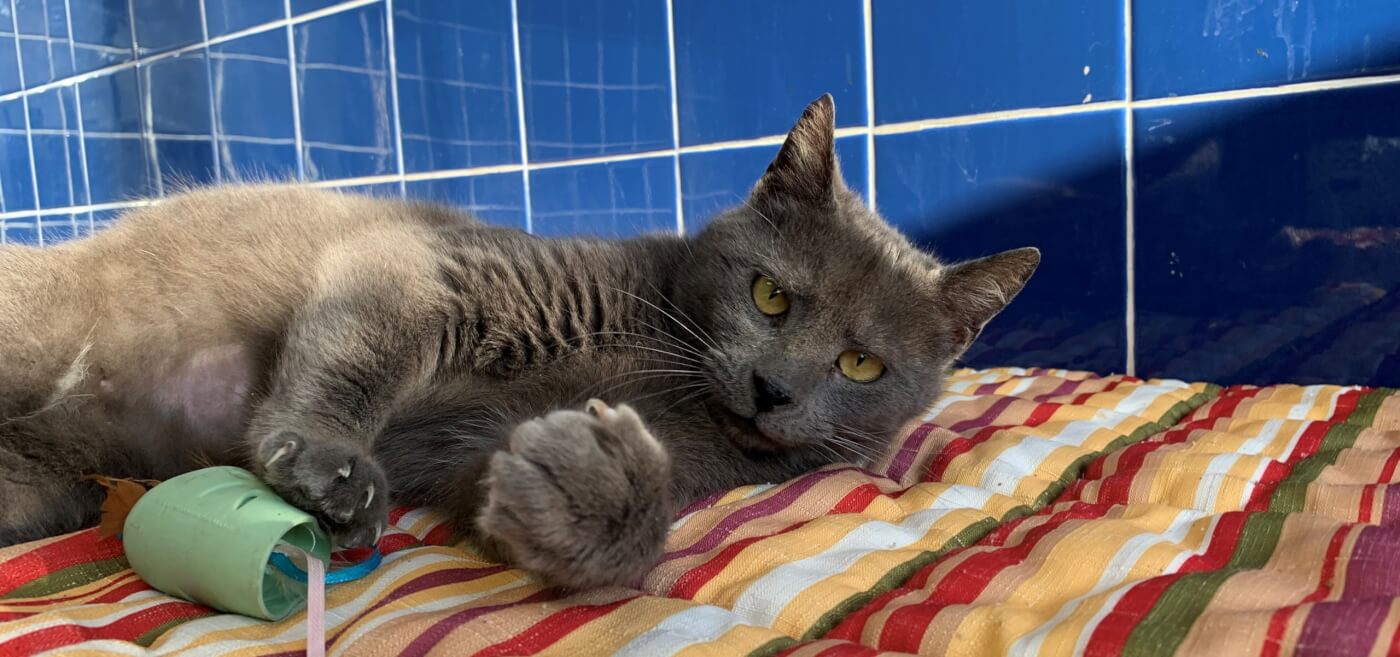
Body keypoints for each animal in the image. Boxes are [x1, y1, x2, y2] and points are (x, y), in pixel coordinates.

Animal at [0, 94, 1036, 585]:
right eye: (771, 296)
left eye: (861, 363)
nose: (774, 390)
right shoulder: (435, 271)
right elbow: (359, 358)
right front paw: (332, 465)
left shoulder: (469, 451)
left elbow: (530, 501)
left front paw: (590, 479)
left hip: (47, 484)